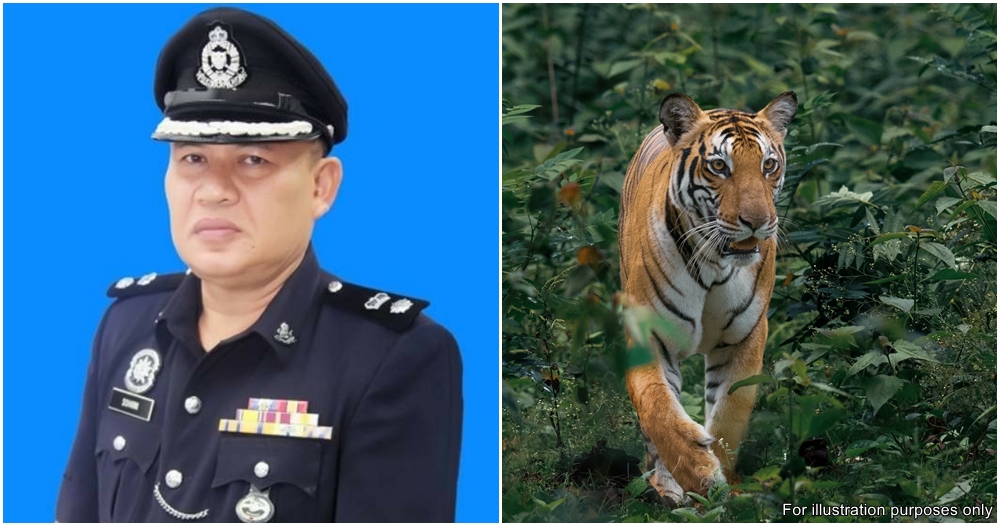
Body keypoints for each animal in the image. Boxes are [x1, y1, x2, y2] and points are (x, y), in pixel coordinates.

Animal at [617, 91, 797, 503]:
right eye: (719, 166)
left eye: (768, 165)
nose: (757, 222)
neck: (714, 263)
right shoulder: (648, 334)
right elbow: (658, 408)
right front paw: (698, 475)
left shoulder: (745, 337)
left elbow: (731, 413)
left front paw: (722, 484)